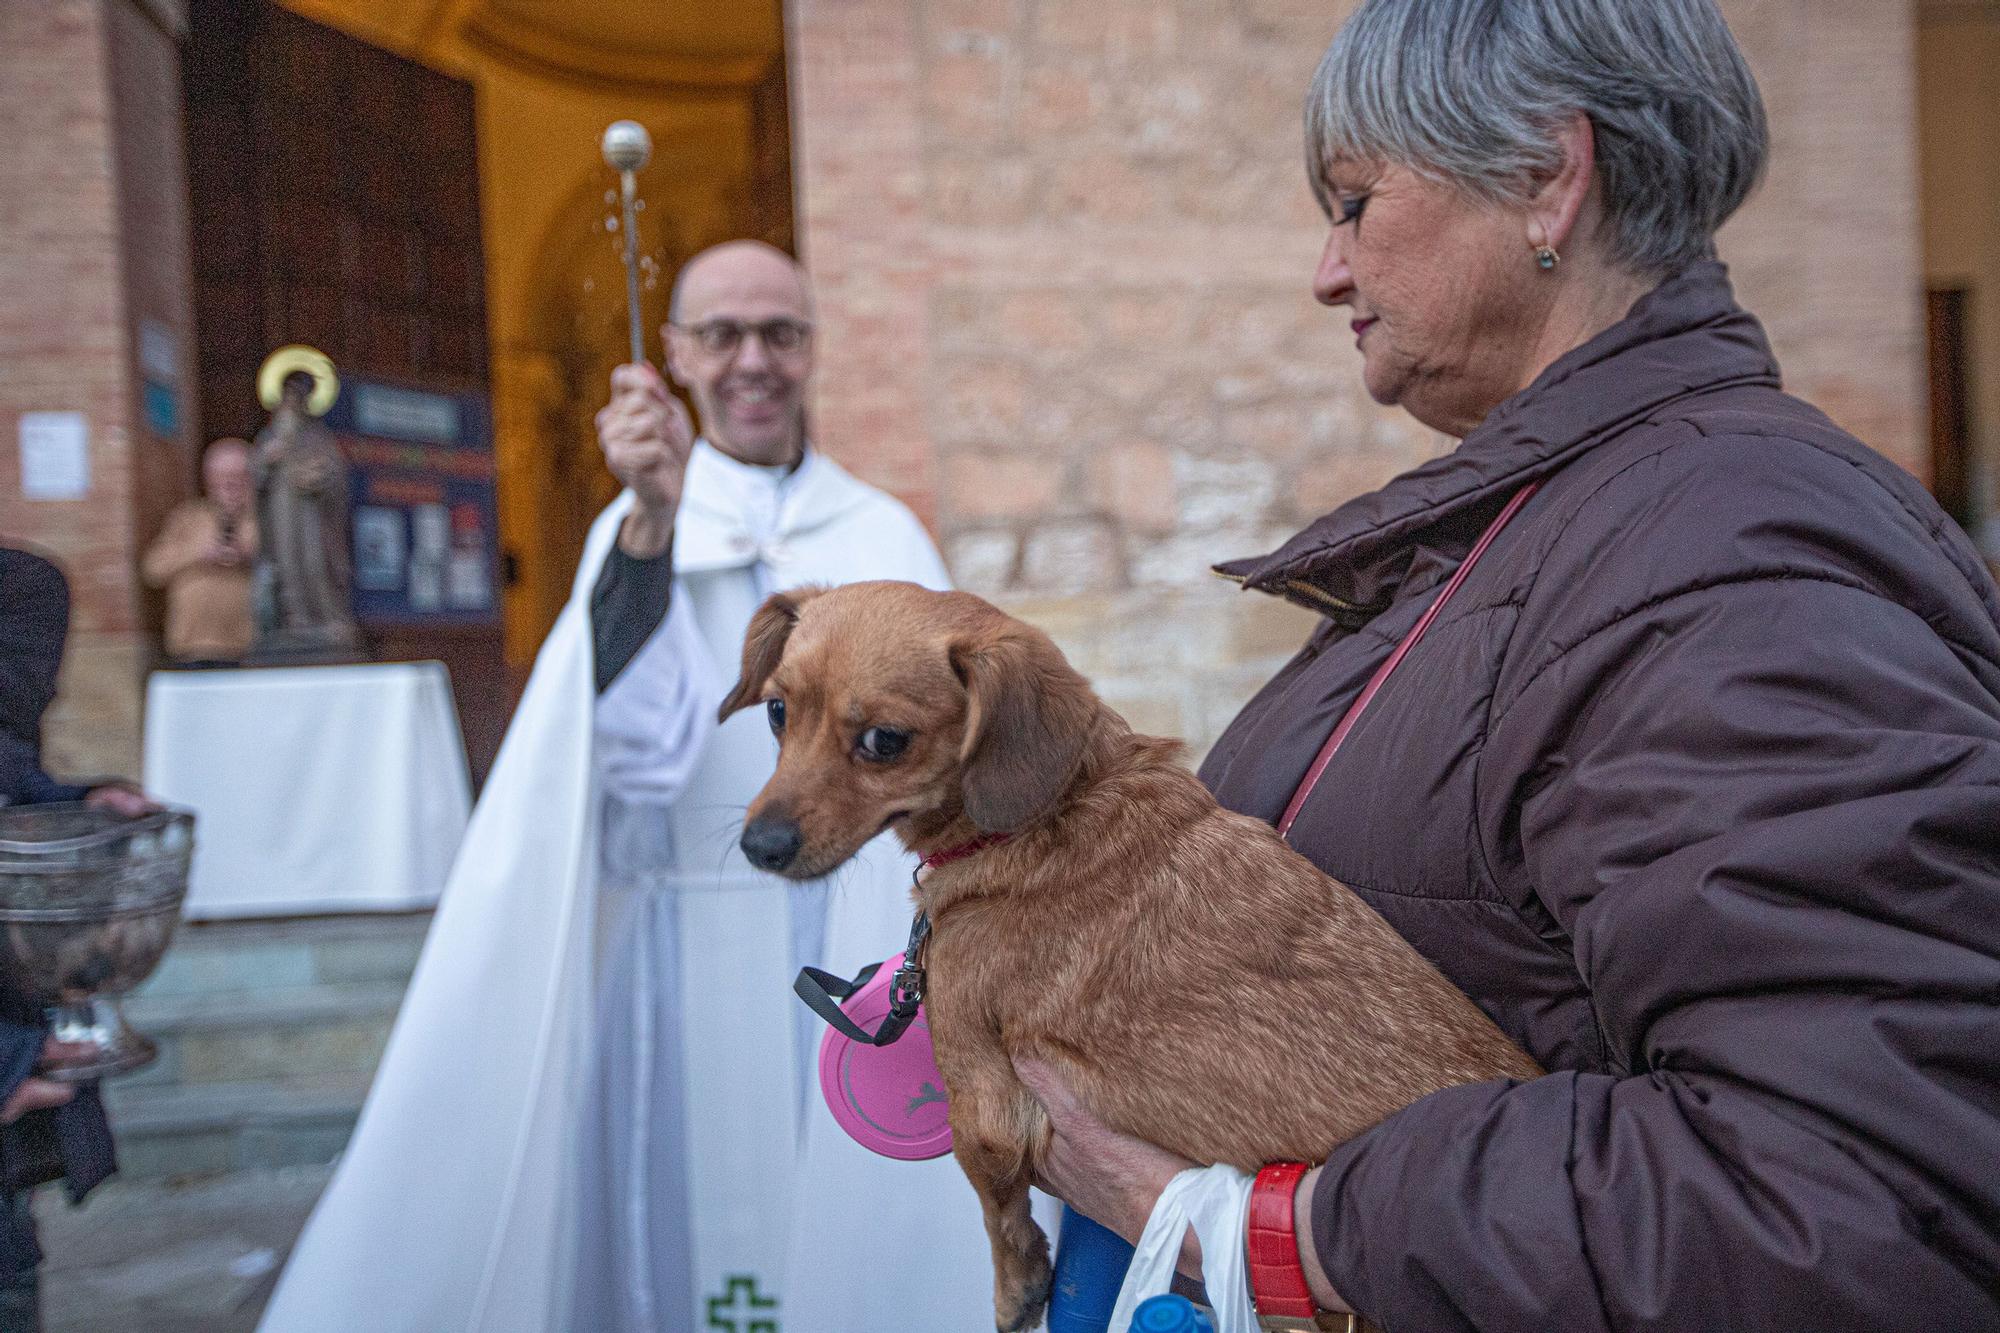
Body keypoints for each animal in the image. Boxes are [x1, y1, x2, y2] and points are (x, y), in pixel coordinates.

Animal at [728, 580, 1536, 1328]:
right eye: (776, 712)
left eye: (885, 740)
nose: (758, 847)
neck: (1060, 806)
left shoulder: (984, 1103)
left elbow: (998, 1211)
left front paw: (1016, 1289)